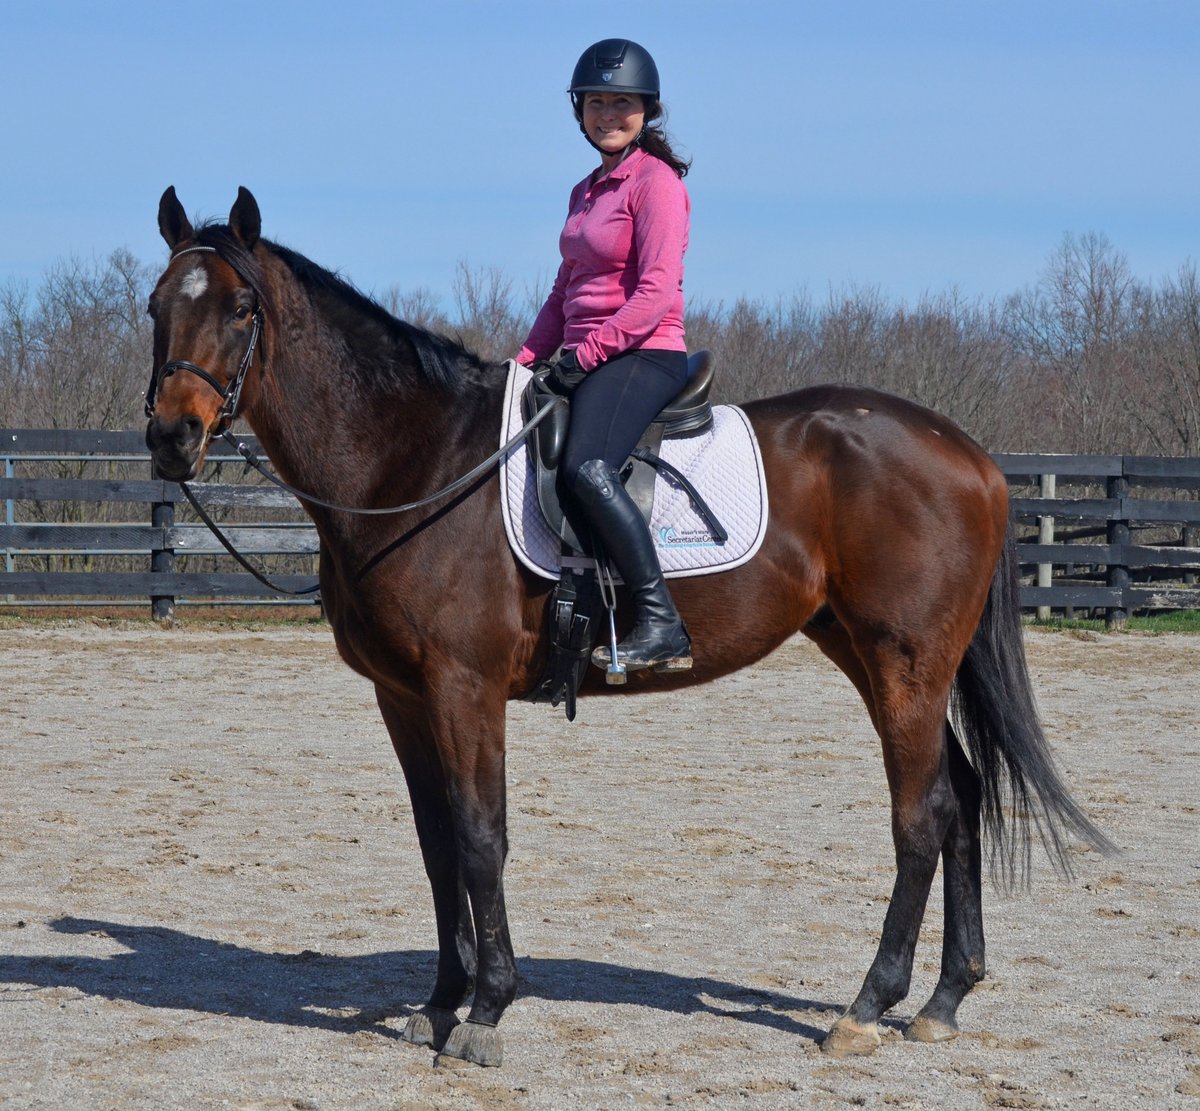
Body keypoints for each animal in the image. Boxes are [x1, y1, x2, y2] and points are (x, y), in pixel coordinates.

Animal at [144, 186, 1111, 1068]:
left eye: (238, 309)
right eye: (156, 306)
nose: (171, 437)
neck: (413, 460)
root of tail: (970, 454)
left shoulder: (464, 686)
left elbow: (481, 835)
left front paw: (488, 1011)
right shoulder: (403, 695)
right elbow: (437, 844)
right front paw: (441, 1001)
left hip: (902, 661)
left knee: (925, 811)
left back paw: (867, 1005)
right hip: (872, 651)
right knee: (963, 798)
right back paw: (944, 999)